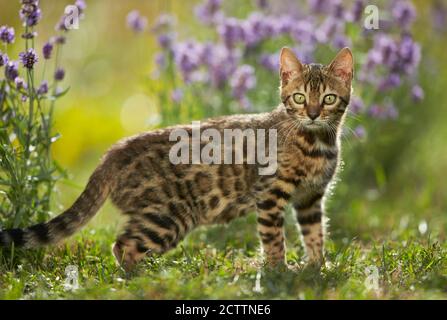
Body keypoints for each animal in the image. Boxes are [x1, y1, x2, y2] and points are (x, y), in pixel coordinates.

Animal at [0, 47, 354, 270]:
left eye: (328, 99)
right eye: (299, 98)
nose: (312, 114)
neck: (316, 142)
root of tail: (114, 152)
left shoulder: (310, 198)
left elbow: (315, 234)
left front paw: (317, 268)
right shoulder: (270, 195)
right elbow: (273, 239)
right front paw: (279, 272)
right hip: (167, 215)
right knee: (123, 245)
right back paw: (143, 278)